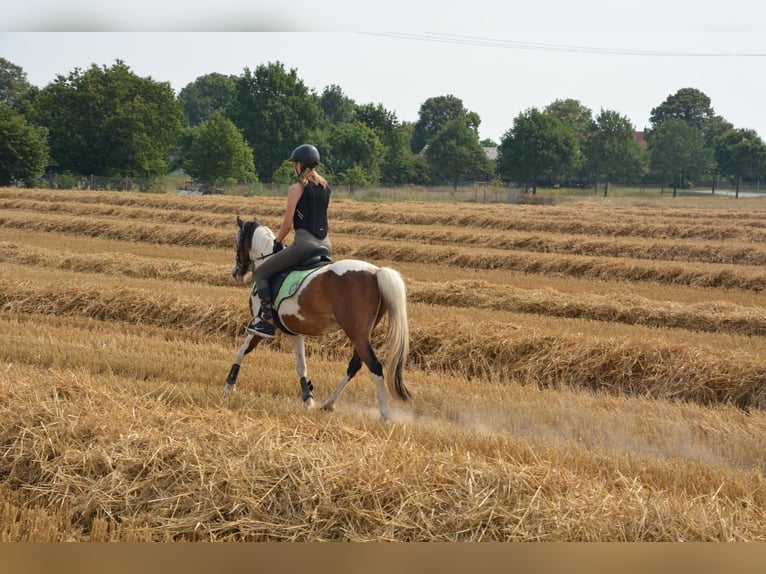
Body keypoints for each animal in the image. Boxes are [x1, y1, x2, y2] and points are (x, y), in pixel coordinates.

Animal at [224, 216, 412, 424]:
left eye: (238, 241)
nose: (236, 272)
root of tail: (376, 272)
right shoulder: (295, 332)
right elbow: (301, 367)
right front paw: (308, 399)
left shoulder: (259, 325)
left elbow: (241, 352)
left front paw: (229, 386)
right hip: (362, 333)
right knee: (355, 365)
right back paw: (328, 403)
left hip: (357, 333)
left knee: (375, 366)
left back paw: (385, 415)